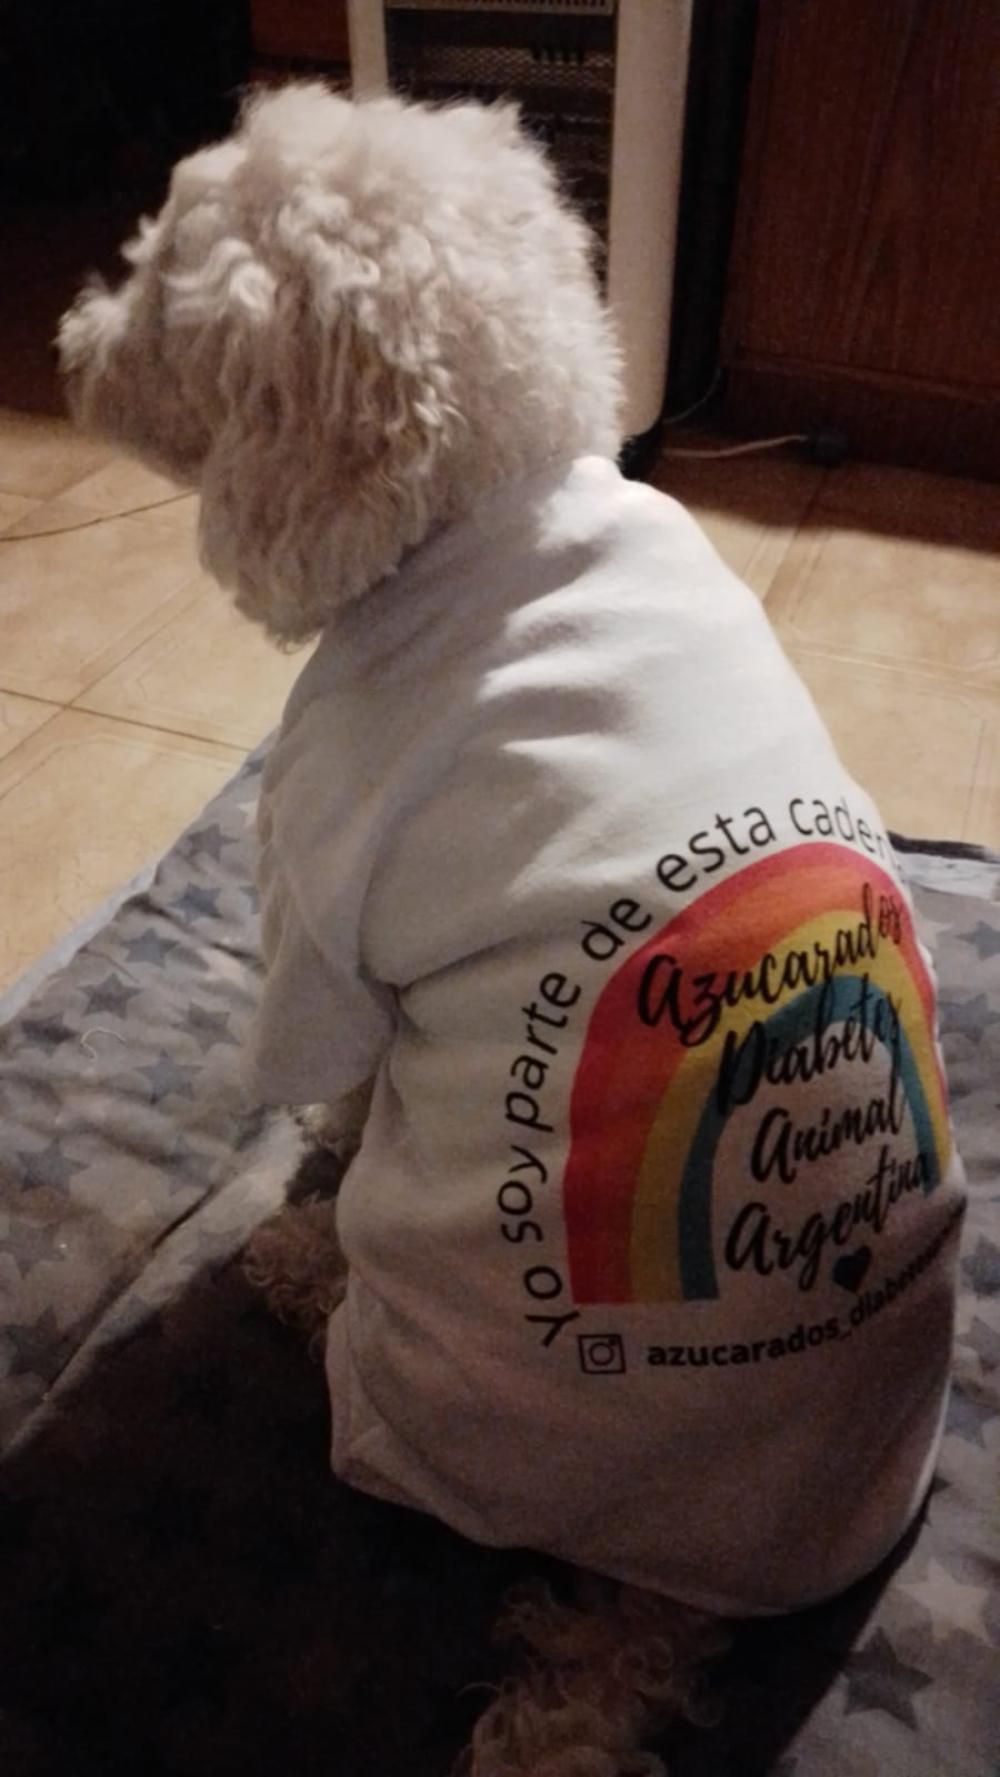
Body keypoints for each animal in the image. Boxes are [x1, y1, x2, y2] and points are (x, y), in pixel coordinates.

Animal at [61, 84, 966, 1773]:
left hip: (404, 1358)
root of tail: (658, 1591)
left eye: (164, 296)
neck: (493, 502)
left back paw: (294, 1266)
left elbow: (341, 1076)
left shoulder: (323, 896)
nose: (71, 342)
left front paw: (302, 1154)